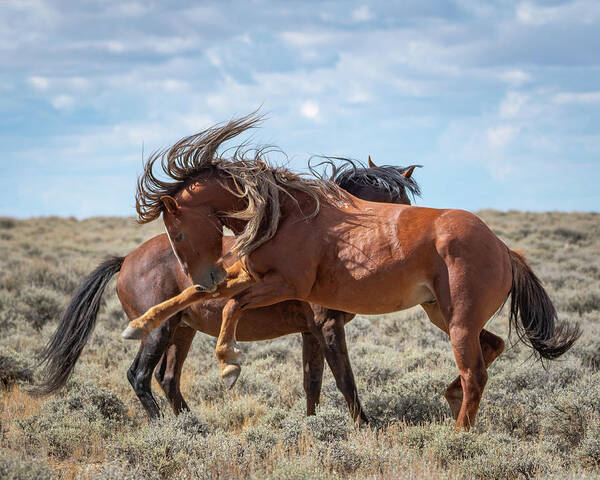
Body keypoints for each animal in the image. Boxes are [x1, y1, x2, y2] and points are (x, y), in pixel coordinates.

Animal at [31, 156, 418, 422]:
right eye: (400, 204)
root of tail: (126, 259)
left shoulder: (311, 332)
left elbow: (313, 383)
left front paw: (313, 427)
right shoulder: (327, 326)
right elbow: (345, 380)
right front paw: (365, 427)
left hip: (182, 331)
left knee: (167, 378)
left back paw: (191, 426)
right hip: (159, 332)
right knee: (139, 376)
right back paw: (165, 427)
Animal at [126, 113, 580, 432]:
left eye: (178, 232)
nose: (207, 275)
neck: (285, 214)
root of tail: (503, 248)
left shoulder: (288, 290)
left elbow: (236, 310)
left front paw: (229, 363)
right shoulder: (261, 284)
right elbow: (202, 301)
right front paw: (139, 322)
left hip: (458, 322)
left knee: (476, 374)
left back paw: (459, 436)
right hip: (442, 314)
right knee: (492, 347)